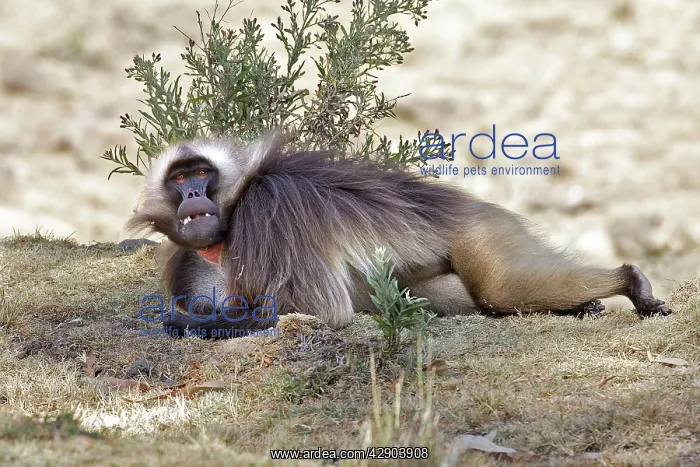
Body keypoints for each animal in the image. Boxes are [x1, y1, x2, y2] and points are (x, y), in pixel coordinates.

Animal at [127, 134, 672, 339]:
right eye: (179, 178)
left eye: (201, 173)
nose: (192, 192)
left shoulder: (268, 213)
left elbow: (325, 313)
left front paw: (180, 321)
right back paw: (582, 305)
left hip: (483, 230)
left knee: (499, 289)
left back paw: (631, 281)